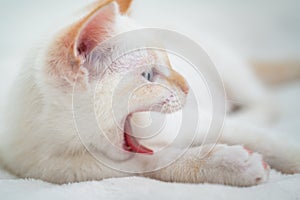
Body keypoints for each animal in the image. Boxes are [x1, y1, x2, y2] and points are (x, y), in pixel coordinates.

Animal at [0, 0, 298, 187]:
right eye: (148, 76)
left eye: (169, 62)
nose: (187, 87)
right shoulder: (62, 168)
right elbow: (156, 163)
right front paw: (233, 164)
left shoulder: (193, 119)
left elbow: (263, 139)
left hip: (227, 69)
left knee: (265, 102)